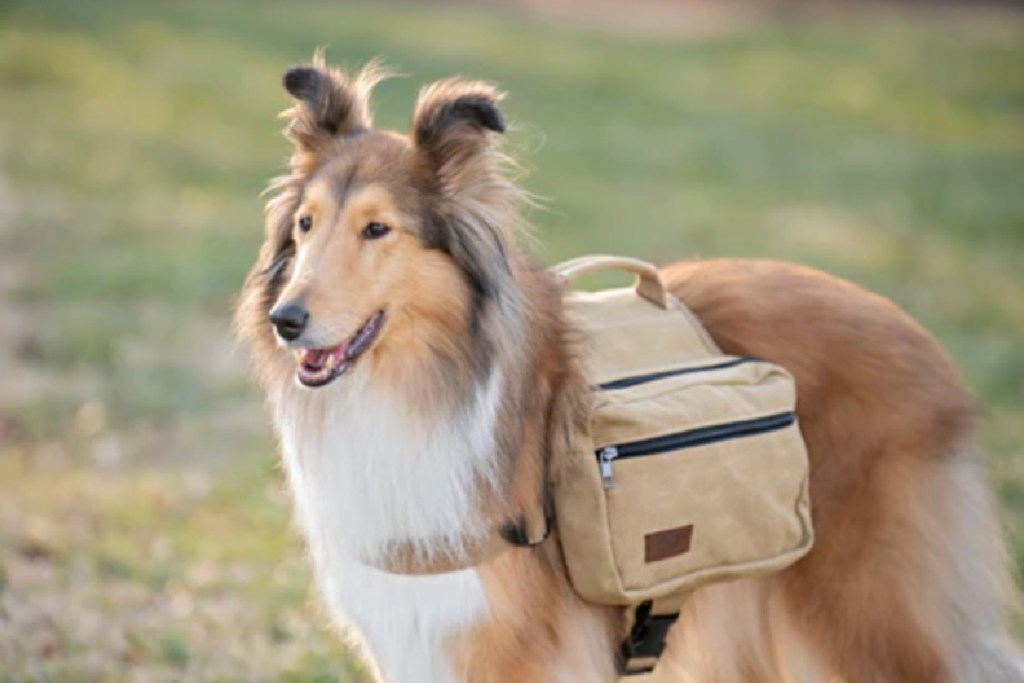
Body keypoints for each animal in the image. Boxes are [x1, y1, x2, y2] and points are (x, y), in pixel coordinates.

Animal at [234, 56, 1024, 679]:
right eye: (305, 225)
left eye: (377, 229)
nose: (286, 321)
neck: (420, 386)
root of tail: (926, 343)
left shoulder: (517, 649)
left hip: (866, 611)